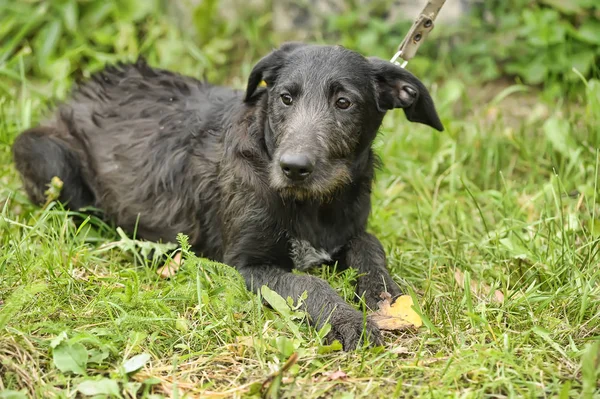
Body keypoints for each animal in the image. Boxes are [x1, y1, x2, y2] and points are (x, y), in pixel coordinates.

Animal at [11, 42, 442, 352]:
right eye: (285, 98)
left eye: (344, 102)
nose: (293, 167)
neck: (312, 203)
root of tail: (80, 92)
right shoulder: (246, 267)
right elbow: (309, 285)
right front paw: (348, 320)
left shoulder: (349, 228)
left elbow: (370, 246)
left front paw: (386, 298)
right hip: (48, 158)